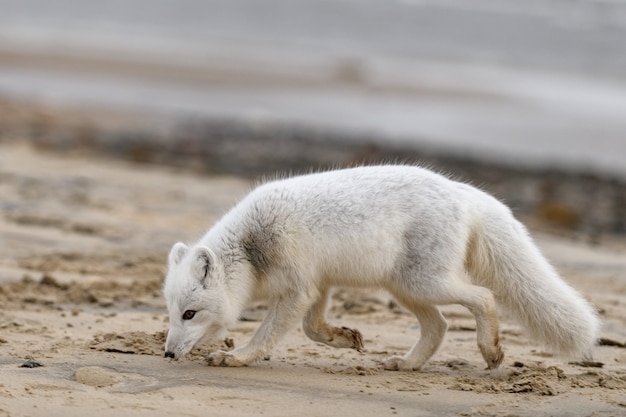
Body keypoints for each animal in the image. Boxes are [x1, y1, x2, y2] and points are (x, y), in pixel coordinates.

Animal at [163, 164, 596, 368]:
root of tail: (463, 191)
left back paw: (490, 351)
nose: (166, 355)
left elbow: (269, 333)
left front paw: (237, 357)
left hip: (424, 283)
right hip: (404, 288)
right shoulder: (318, 284)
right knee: (439, 326)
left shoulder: (299, 287)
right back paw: (406, 364)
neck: (251, 245)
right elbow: (312, 328)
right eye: (170, 314)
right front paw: (344, 337)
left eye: (189, 314)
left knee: (484, 296)